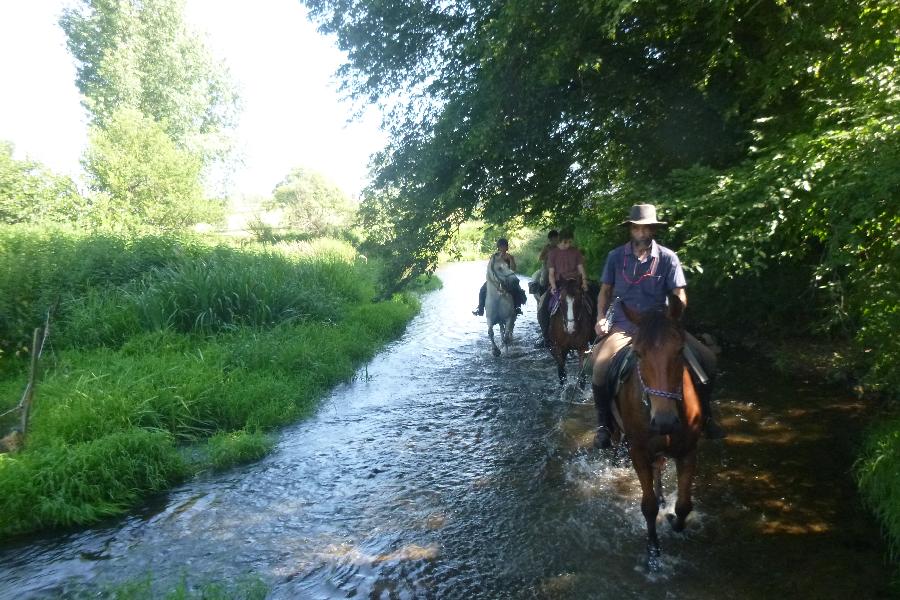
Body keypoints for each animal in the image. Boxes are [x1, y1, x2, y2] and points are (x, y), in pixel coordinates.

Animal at [612, 298, 704, 568]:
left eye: (680, 350)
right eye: (638, 353)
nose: (664, 421)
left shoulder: (689, 451)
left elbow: (684, 505)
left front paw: (674, 520)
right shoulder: (638, 453)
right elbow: (649, 506)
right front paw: (653, 549)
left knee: (660, 468)